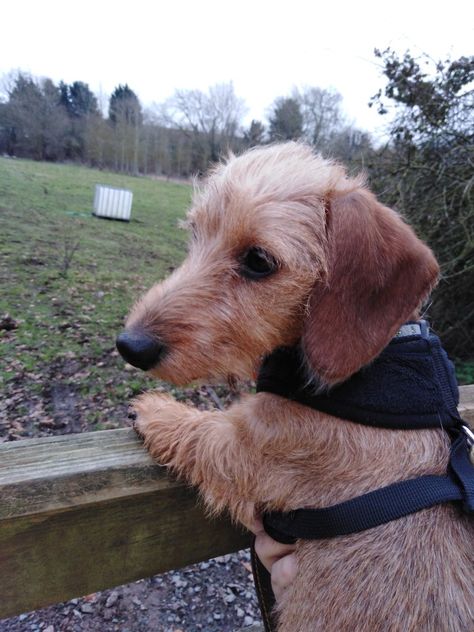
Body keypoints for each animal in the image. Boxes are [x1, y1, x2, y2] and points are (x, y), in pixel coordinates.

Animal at [116, 143, 472, 632]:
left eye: (258, 261)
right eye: (196, 234)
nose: (130, 344)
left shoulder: (249, 444)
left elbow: (204, 434)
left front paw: (156, 410)